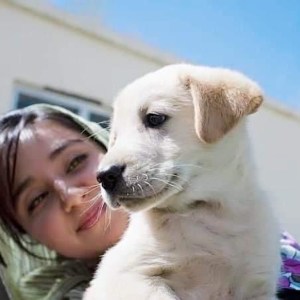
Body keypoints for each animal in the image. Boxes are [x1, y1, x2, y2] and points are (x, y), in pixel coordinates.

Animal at [85, 63, 282, 300]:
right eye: (115, 137)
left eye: (154, 118)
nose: (104, 176)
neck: (207, 211)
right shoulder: (128, 273)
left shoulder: (258, 285)